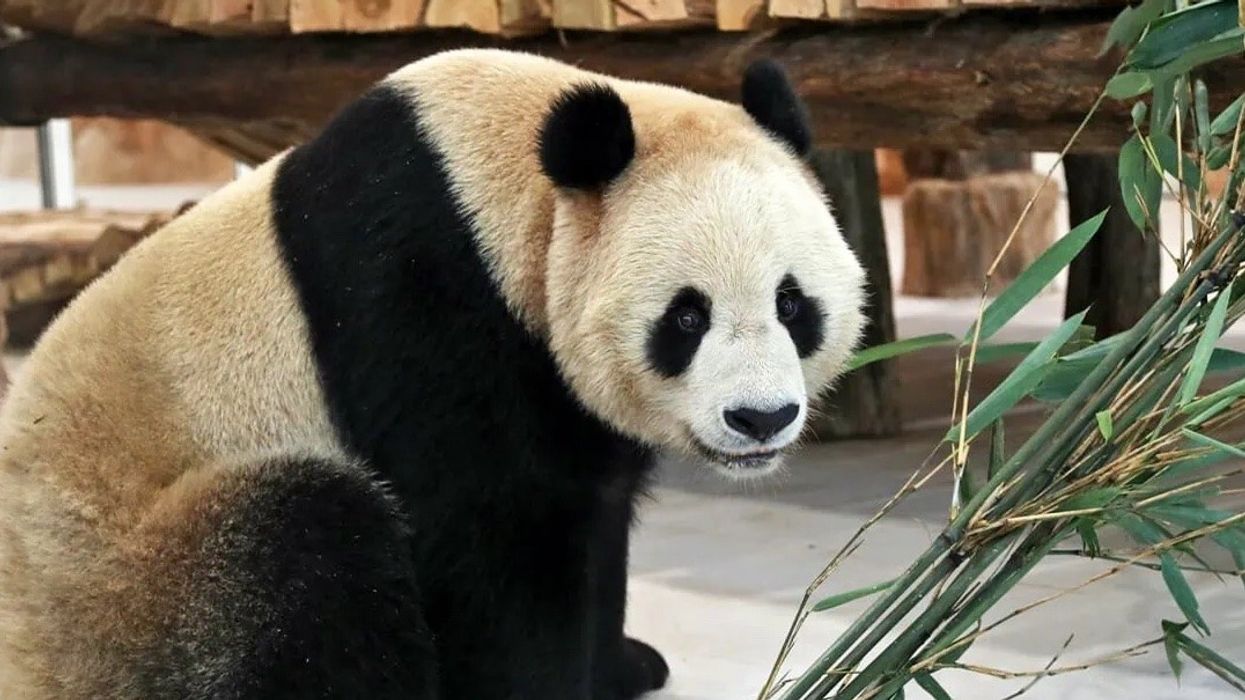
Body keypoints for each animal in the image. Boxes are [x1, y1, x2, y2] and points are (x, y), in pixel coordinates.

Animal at [0, 50, 865, 699]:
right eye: (686, 318)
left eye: (791, 304)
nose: (760, 419)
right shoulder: (422, 298)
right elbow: (493, 534)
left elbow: (594, 509)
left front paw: (620, 665)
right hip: (132, 592)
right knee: (299, 554)